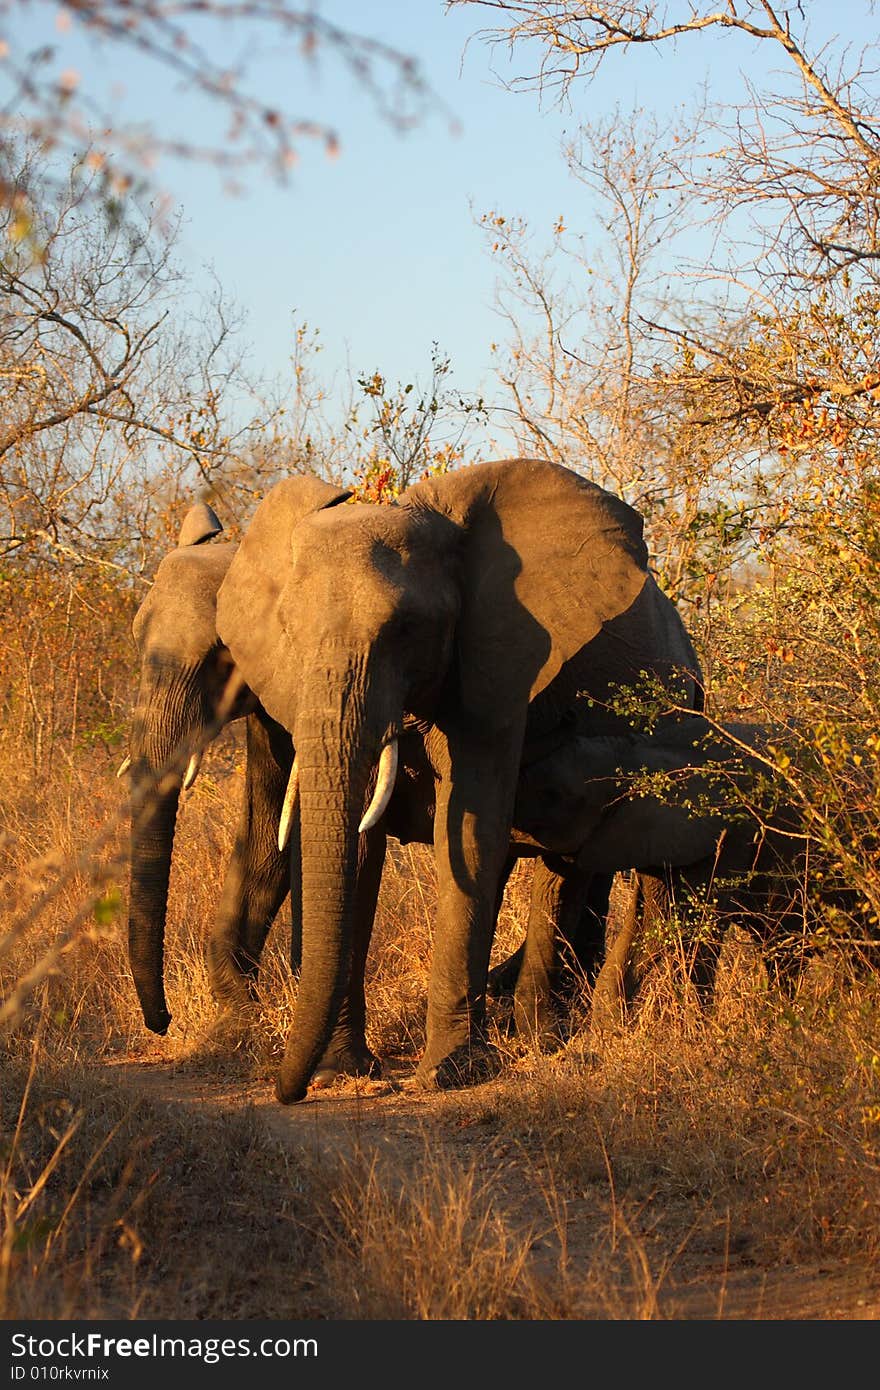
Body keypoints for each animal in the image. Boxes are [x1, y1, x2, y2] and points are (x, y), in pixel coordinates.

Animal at [212, 461, 700, 1100]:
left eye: (406, 628)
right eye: (287, 629)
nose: (284, 1091)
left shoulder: (499, 661)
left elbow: (468, 828)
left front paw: (447, 1073)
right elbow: (362, 848)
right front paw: (341, 1071)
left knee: (567, 867)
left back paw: (541, 1040)